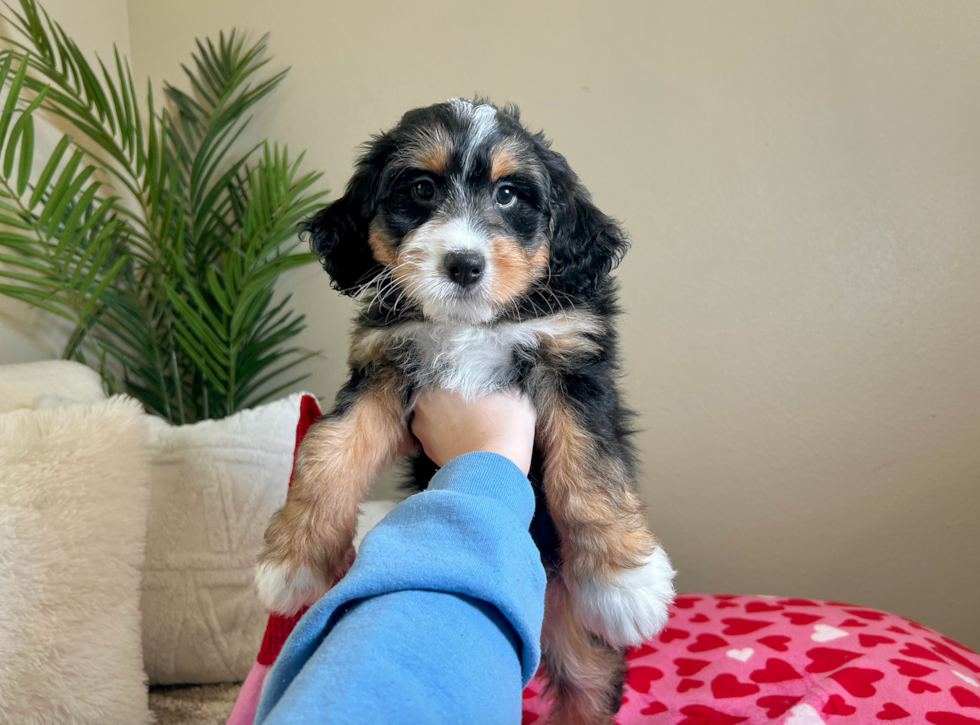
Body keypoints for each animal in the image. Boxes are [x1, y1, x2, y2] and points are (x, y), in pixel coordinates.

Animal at [256, 97, 676, 724]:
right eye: (422, 188)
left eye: (508, 195)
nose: (463, 264)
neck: (471, 326)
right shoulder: (385, 368)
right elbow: (327, 452)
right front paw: (292, 561)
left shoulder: (573, 363)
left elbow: (588, 469)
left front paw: (625, 583)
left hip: (577, 636)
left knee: (587, 687)